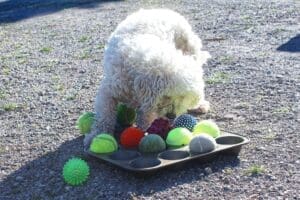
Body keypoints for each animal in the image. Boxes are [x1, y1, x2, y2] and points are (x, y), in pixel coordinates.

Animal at [84, 8, 211, 148]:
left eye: (182, 97)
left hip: (191, 49)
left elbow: (145, 116)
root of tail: (160, 9)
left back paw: (200, 105)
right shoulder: (109, 91)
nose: (171, 115)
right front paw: (96, 136)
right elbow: (104, 115)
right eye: (166, 96)